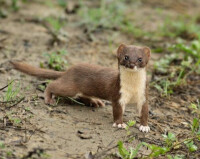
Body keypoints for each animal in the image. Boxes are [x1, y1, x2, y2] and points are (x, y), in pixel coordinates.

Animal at [10, 44, 151, 132]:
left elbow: (144, 112)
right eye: (126, 57)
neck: (132, 88)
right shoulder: (118, 94)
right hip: (69, 87)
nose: (132, 64)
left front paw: (144, 127)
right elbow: (117, 111)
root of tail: (69, 70)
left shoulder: (143, 95)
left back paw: (95, 102)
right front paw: (119, 123)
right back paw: (49, 99)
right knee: (52, 85)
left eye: (140, 59)